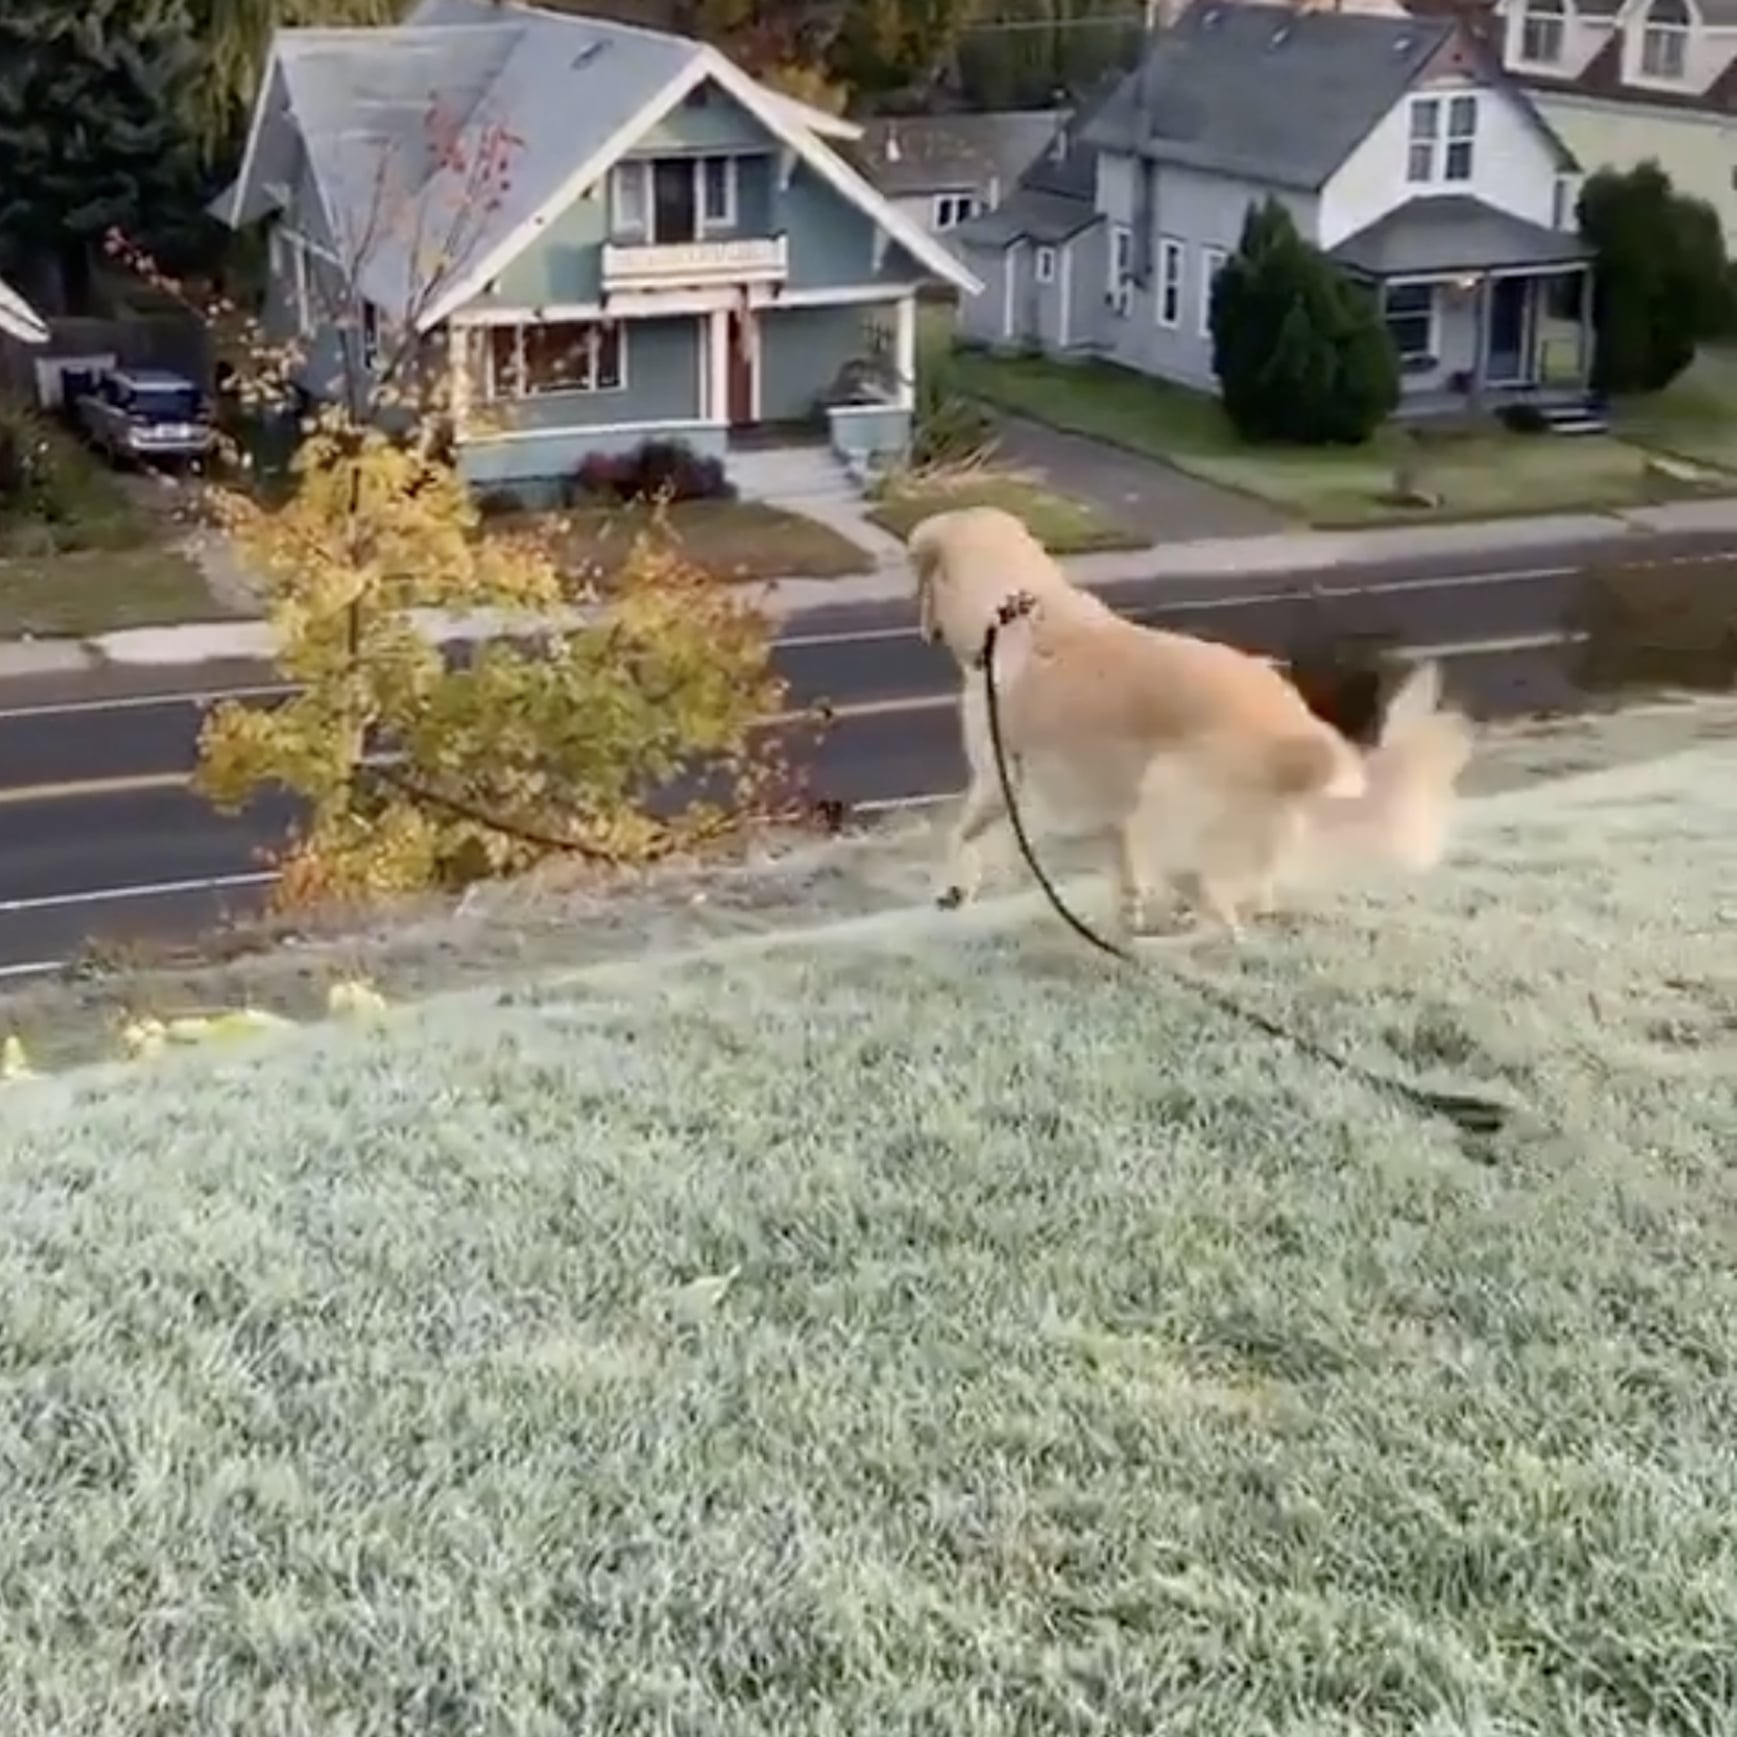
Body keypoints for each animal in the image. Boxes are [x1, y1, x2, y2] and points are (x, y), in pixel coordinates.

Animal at [910, 507, 1479, 937]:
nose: (925, 631)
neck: (1013, 608)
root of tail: (1302, 738)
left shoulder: (996, 777)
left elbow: (961, 835)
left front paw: (952, 888)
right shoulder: (1112, 806)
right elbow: (1124, 867)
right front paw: (1129, 918)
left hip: (1170, 798)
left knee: (1225, 916)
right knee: (1245, 898)